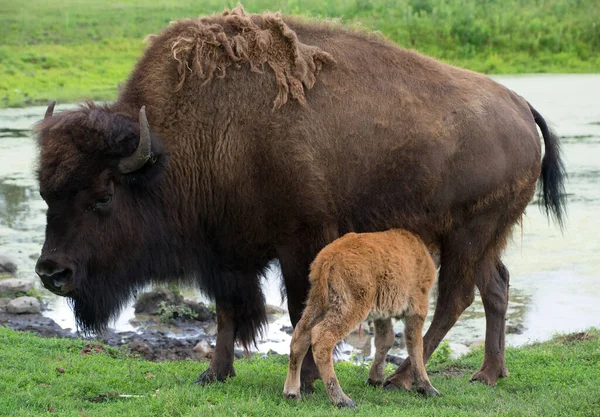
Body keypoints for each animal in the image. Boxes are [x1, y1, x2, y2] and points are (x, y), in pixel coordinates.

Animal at [284, 228, 438, 406]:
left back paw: (292, 393)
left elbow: (385, 339)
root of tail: (327, 259)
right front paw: (427, 387)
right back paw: (342, 400)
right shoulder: (418, 307)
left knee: (301, 334)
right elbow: (415, 344)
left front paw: (375, 380)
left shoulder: (382, 313)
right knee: (323, 337)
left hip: (318, 303)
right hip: (352, 307)